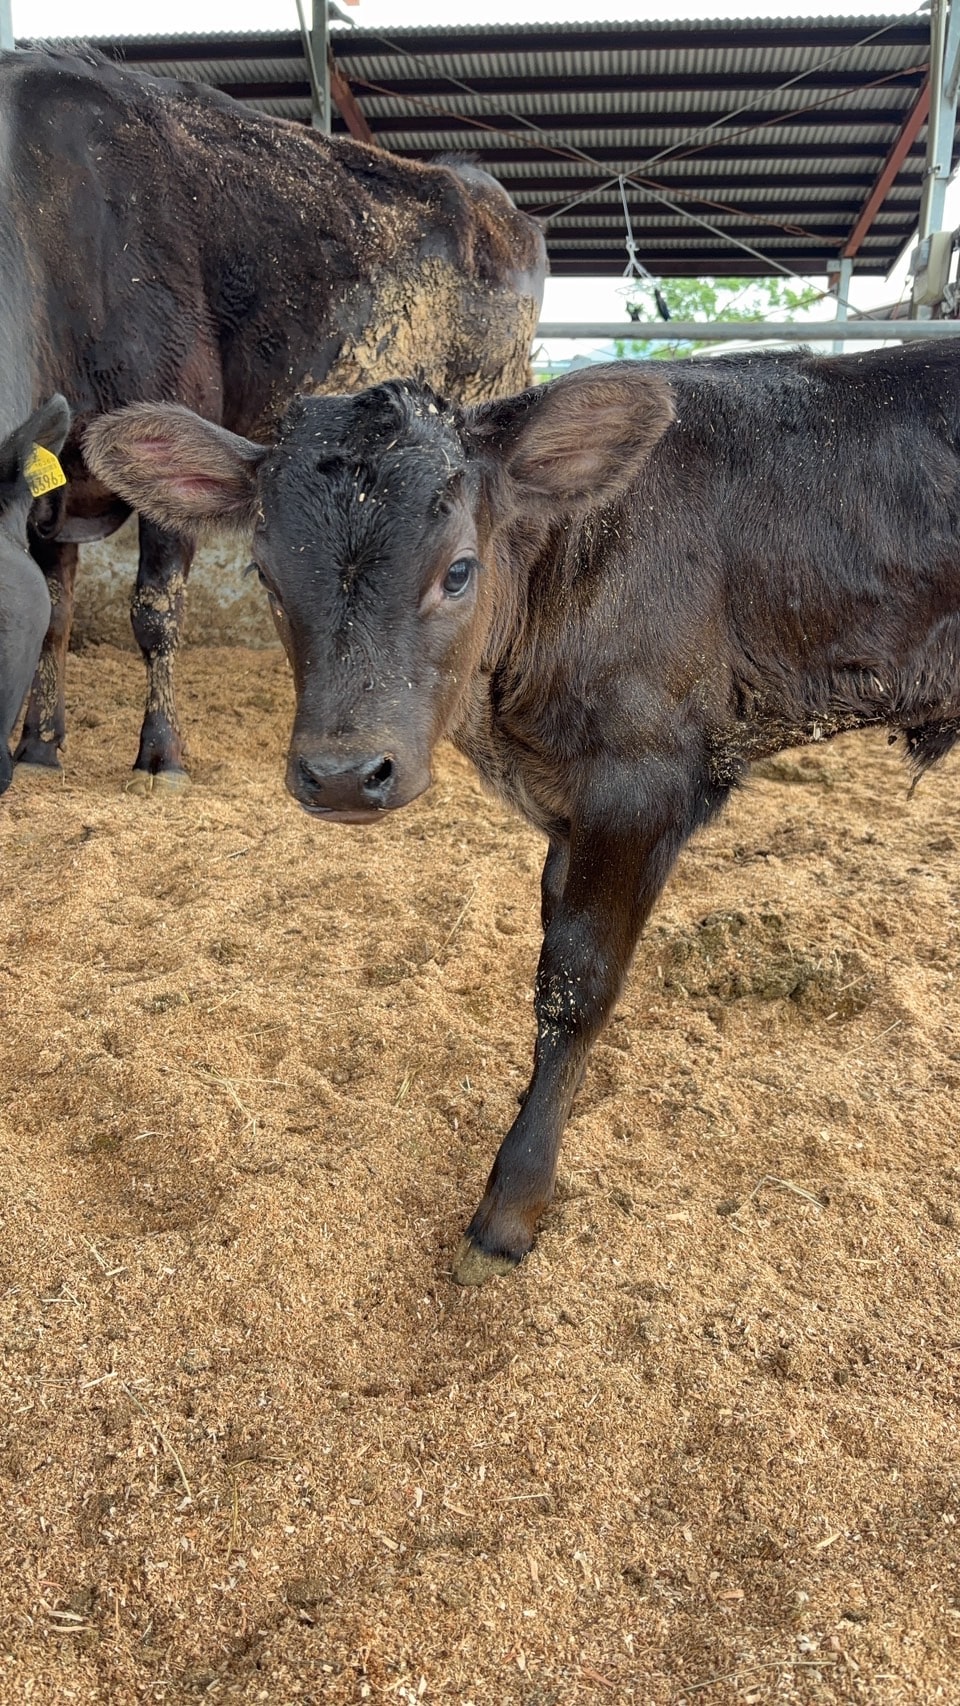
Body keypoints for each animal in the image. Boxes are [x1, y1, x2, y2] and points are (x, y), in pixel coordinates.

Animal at [83, 340, 960, 1283]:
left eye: (458, 571)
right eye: (264, 576)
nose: (345, 774)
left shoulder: (641, 781)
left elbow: (576, 986)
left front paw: (509, 1208)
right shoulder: (569, 812)